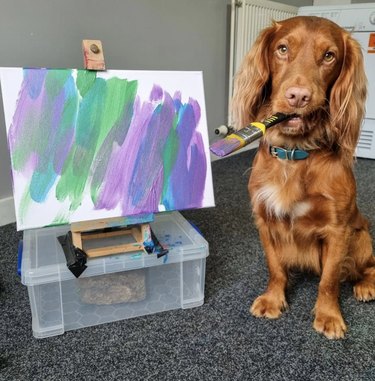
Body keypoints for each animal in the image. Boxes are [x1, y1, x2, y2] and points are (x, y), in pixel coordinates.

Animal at [234, 16, 374, 340]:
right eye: (282, 49)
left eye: (329, 55)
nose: (298, 96)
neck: (294, 153)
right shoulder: (264, 218)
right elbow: (275, 267)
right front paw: (273, 299)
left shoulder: (338, 230)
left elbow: (329, 280)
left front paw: (329, 316)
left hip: (362, 238)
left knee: (370, 267)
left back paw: (366, 286)